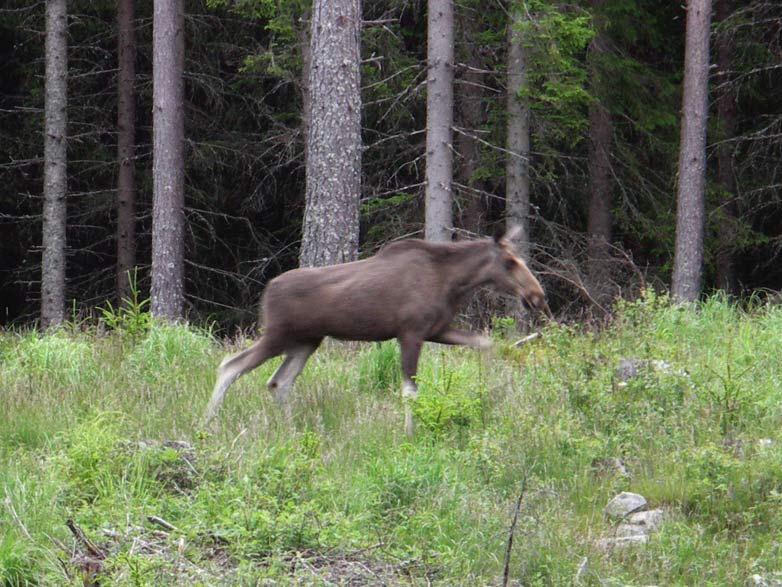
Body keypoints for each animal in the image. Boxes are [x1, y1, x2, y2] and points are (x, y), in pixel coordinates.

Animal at [205, 227, 556, 438]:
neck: (453, 283)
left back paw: (291, 430)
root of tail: (267, 290)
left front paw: (491, 390)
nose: (538, 296)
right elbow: (409, 390)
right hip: (278, 334)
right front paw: (409, 433)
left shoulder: (437, 329)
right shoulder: (411, 332)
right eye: (510, 262)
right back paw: (208, 423)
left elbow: (486, 343)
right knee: (231, 365)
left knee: (278, 382)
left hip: (306, 342)